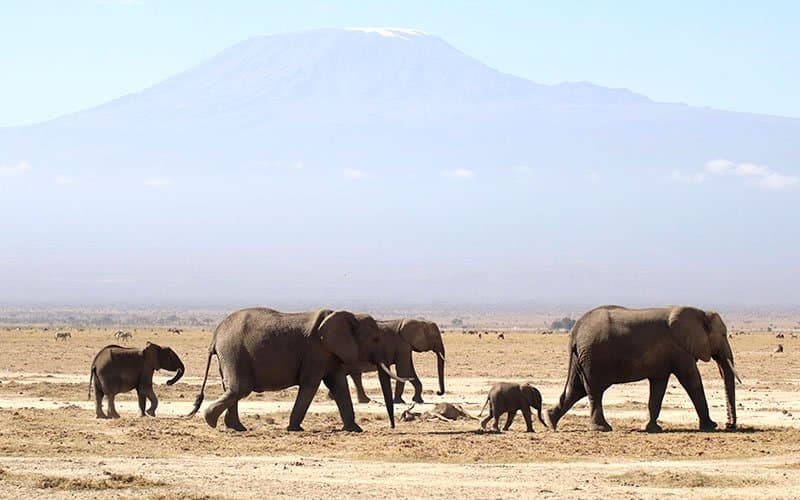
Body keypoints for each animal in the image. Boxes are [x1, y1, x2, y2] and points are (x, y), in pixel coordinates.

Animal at [187, 308, 409, 432]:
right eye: (376, 339)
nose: (392, 427)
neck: (349, 315)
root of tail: (215, 335)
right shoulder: (316, 351)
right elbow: (311, 384)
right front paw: (294, 429)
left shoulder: (329, 353)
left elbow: (338, 384)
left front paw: (355, 430)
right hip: (234, 352)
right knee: (240, 388)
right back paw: (211, 421)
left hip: (230, 354)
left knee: (232, 389)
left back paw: (237, 428)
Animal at [546, 305, 741, 433]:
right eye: (723, 335)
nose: (729, 425)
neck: (701, 313)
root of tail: (575, 332)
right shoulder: (680, 349)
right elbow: (691, 380)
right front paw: (711, 426)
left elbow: (658, 387)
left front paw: (651, 428)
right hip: (593, 358)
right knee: (594, 390)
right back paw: (602, 428)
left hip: (583, 358)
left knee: (576, 389)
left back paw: (550, 421)